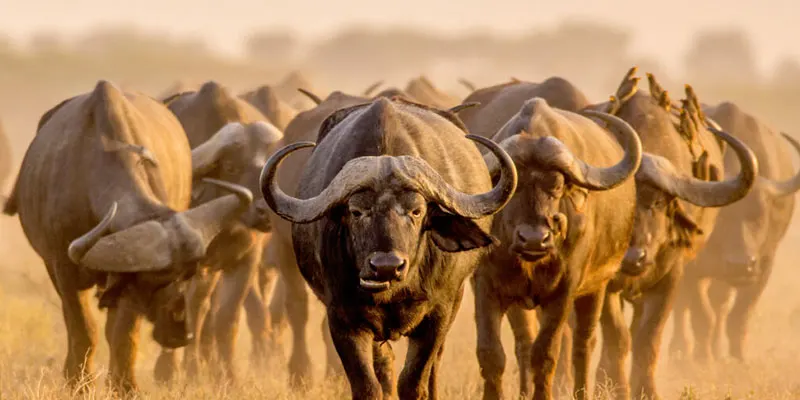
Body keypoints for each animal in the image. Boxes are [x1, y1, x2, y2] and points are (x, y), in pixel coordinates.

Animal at [1, 81, 252, 392]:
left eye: (187, 275)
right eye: (155, 280)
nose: (181, 333)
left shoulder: (126, 285)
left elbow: (123, 332)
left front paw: (124, 385)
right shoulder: (63, 267)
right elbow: (82, 327)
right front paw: (78, 381)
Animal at [261, 97, 518, 399]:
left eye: (416, 211)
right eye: (356, 211)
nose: (386, 266)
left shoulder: (438, 314)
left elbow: (414, 381)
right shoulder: (343, 319)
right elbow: (368, 384)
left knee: (434, 364)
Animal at [597, 73, 758, 400]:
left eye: (658, 203)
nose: (633, 257)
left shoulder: (671, 279)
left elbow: (648, 337)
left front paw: (646, 391)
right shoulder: (605, 282)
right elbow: (616, 338)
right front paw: (614, 387)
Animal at [670, 102, 800, 363]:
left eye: (760, 215)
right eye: (721, 217)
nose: (740, 265)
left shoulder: (764, 265)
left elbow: (738, 316)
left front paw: (737, 358)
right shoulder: (691, 268)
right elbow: (701, 315)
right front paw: (702, 359)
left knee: (719, 303)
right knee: (685, 308)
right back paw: (680, 349)